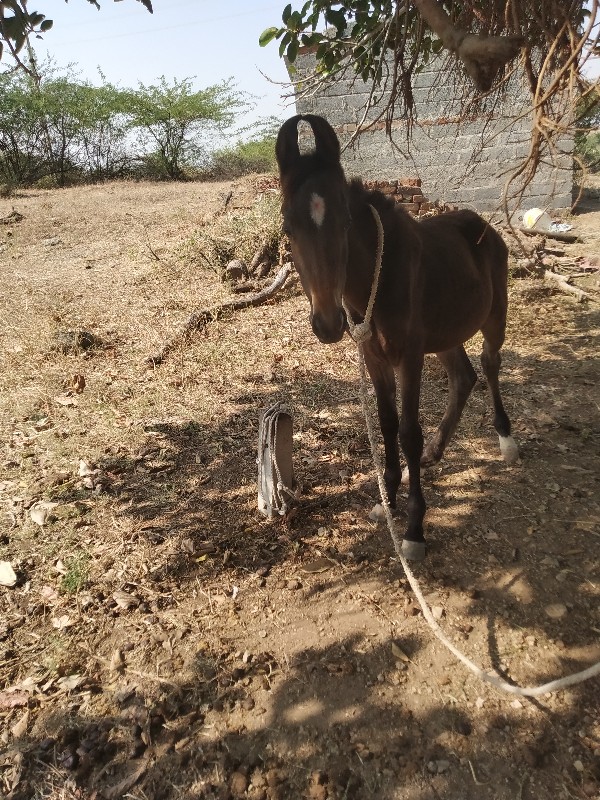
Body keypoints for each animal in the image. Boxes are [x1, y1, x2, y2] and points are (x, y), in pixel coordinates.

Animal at [276, 115, 516, 560]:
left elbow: (407, 432)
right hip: (446, 333)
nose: (328, 323)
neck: (380, 277)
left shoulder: (409, 357)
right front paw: (385, 498)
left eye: (346, 221)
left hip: (494, 316)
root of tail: (483, 226)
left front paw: (414, 528)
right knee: (464, 377)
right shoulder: (375, 357)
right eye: (287, 227)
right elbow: (387, 423)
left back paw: (505, 439)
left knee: (490, 364)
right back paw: (436, 451)